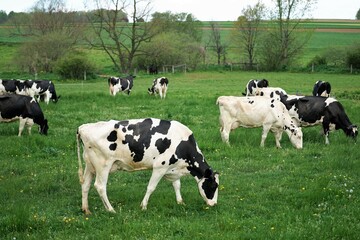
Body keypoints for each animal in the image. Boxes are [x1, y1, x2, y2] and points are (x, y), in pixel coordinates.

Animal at [76, 118, 219, 214]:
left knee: (85, 185)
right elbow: (151, 187)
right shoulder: (160, 167)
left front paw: (180, 202)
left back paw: (86, 209)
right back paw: (111, 209)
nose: (214, 204)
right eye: (213, 186)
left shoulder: (172, 167)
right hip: (103, 165)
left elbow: (177, 185)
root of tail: (83, 127)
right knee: (100, 186)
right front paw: (143, 206)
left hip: (90, 165)